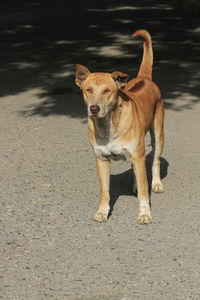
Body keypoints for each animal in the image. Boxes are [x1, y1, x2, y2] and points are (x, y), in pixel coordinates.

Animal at [75, 29, 164, 224]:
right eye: (88, 90)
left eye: (107, 91)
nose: (94, 109)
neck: (108, 125)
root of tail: (144, 78)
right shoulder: (101, 160)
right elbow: (104, 191)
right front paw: (102, 211)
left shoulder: (138, 155)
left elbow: (145, 191)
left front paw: (144, 213)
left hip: (158, 135)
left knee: (155, 161)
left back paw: (156, 184)